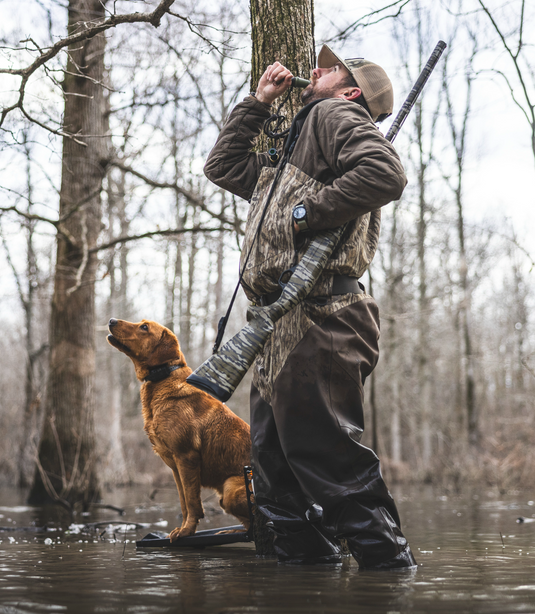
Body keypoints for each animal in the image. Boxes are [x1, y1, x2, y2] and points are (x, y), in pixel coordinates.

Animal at [108, 320, 253, 540]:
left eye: (144, 327)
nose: (111, 320)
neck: (162, 379)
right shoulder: (176, 467)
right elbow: (184, 502)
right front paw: (183, 528)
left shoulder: (186, 457)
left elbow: (192, 502)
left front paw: (187, 531)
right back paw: (230, 531)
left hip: (230, 489)